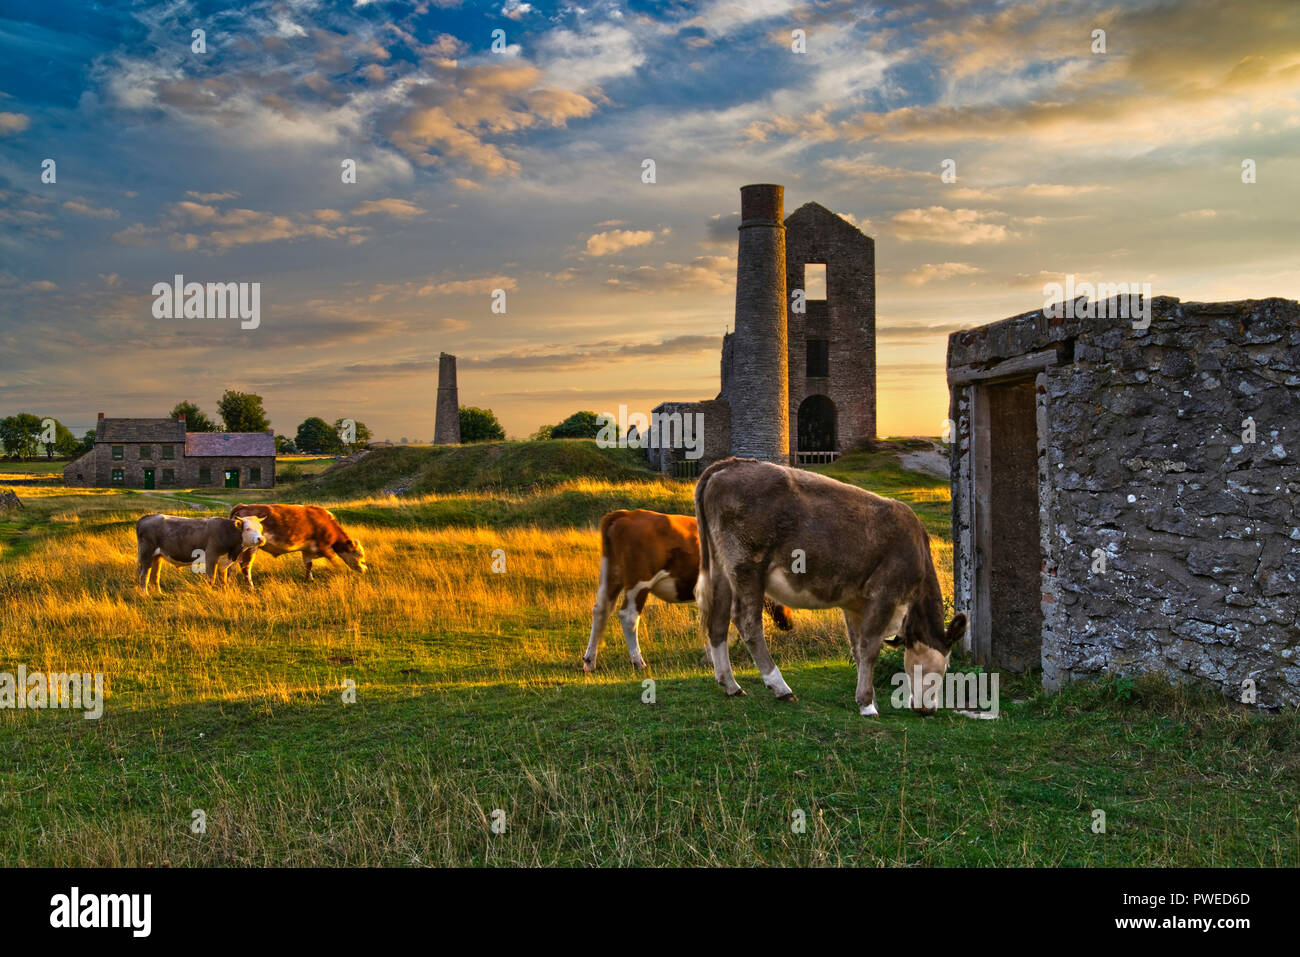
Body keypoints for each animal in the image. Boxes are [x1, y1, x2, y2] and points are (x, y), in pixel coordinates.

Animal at [135, 514, 265, 590]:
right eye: (247, 529)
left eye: (260, 528)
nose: (261, 539)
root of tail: (146, 517)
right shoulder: (211, 557)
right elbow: (211, 579)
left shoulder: (223, 563)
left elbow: (223, 580)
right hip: (146, 553)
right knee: (144, 575)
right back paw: (145, 595)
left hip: (157, 556)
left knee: (155, 575)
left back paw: (159, 593)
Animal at [227, 504, 366, 587]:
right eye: (360, 557)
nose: (365, 569)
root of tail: (242, 506)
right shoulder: (325, 547)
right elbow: (335, 561)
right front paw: (341, 572)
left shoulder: (307, 549)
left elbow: (308, 565)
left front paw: (309, 579)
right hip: (252, 546)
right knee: (245, 566)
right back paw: (250, 587)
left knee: (232, 564)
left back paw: (229, 581)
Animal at [582, 509, 790, 670]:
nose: (788, 625)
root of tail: (626, 514)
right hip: (639, 582)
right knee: (629, 616)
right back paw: (638, 661)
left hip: (610, 577)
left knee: (600, 611)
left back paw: (590, 661)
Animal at [691, 457, 967, 717]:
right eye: (944, 669)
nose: (929, 709)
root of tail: (728, 465)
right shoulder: (885, 593)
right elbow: (870, 648)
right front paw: (868, 705)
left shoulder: (855, 604)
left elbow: (857, 649)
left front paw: (867, 697)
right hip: (747, 565)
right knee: (747, 621)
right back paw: (780, 687)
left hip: (721, 567)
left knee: (718, 619)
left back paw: (730, 684)